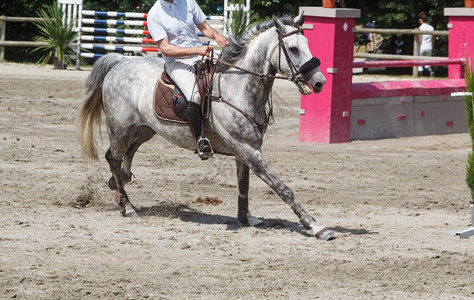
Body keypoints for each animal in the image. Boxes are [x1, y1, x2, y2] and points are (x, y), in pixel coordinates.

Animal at [77, 15, 334, 240]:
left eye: (307, 44)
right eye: (293, 49)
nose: (319, 82)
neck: (238, 87)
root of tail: (120, 61)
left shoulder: (245, 151)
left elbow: (244, 185)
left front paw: (246, 218)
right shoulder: (248, 150)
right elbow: (282, 188)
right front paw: (316, 226)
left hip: (144, 129)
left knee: (123, 154)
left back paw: (120, 185)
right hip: (121, 127)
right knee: (114, 157)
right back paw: (128, 205)